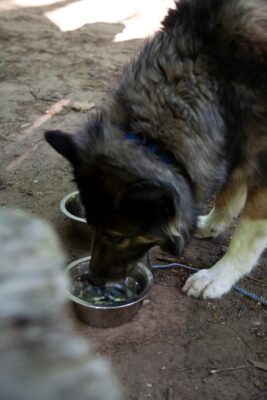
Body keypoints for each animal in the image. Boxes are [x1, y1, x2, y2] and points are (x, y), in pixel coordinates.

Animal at [45, 0, 267, 298]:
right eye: (90, 224)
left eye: (116, 236)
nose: (94, 280)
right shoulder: (234, 139)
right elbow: (227, 193)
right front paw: (212, 225)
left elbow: (246, 234)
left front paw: (219, 275)